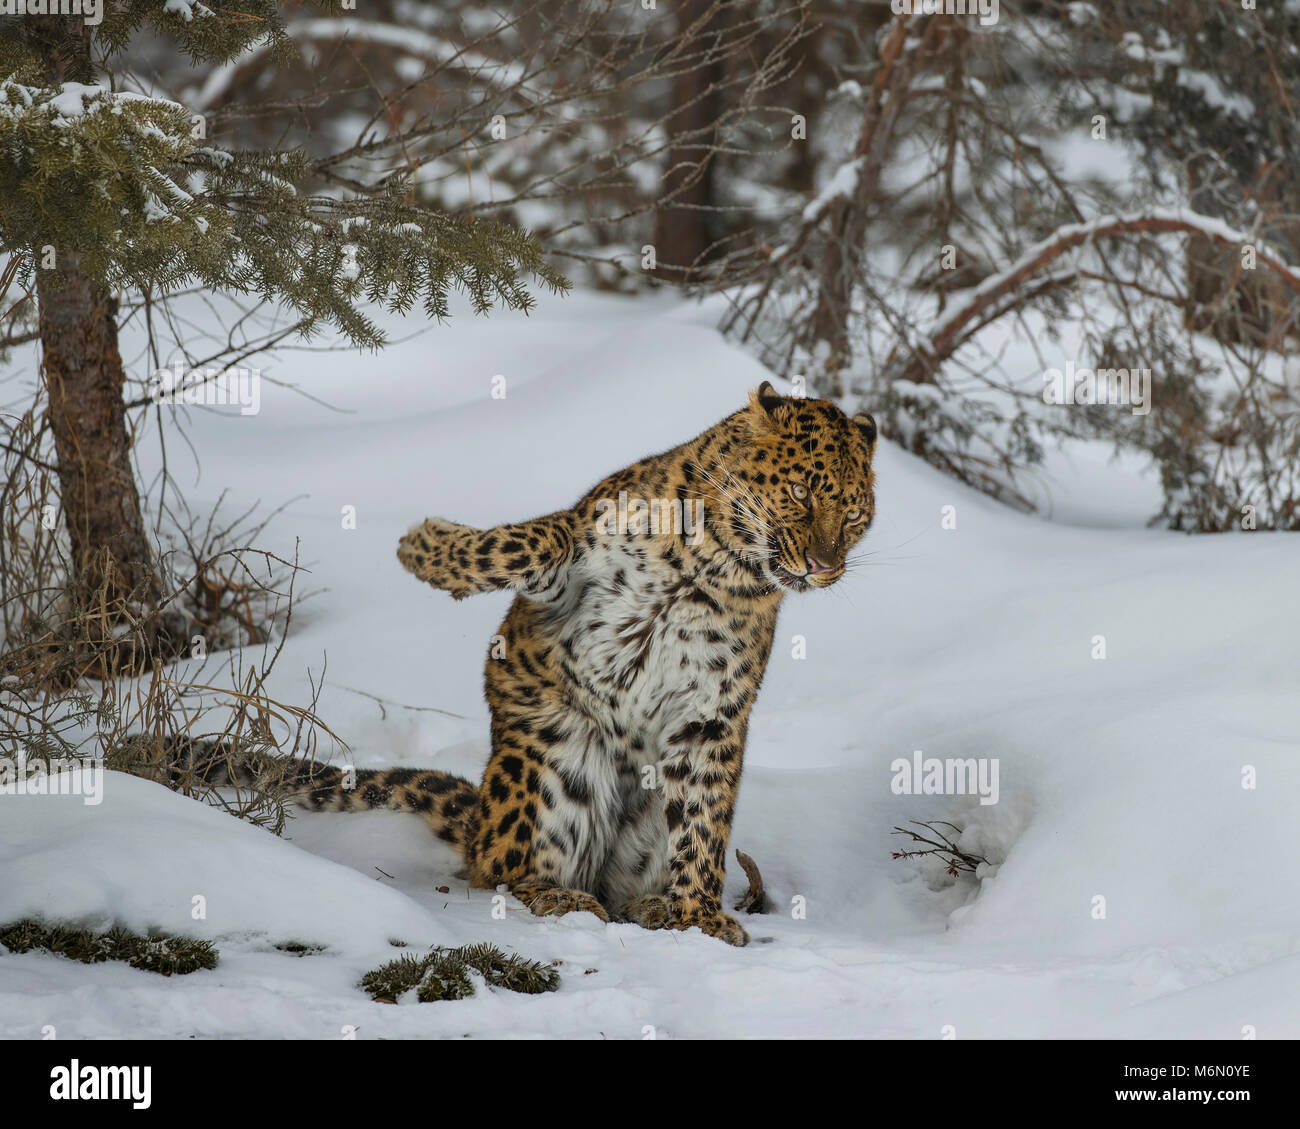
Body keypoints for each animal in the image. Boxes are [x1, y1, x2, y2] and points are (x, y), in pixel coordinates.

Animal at [279, 381, 875, 947]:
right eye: (799, 492)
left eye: (852, 516)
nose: (824, 566)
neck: (716, 569)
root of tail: (478, 826)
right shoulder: (576, 551)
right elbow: (524, 541)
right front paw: (424, 548)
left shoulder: (709, 714)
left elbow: (704, 821)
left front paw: (699, 916)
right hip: (551, 761)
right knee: (502, 875)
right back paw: (558, 896)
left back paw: (651, 906)